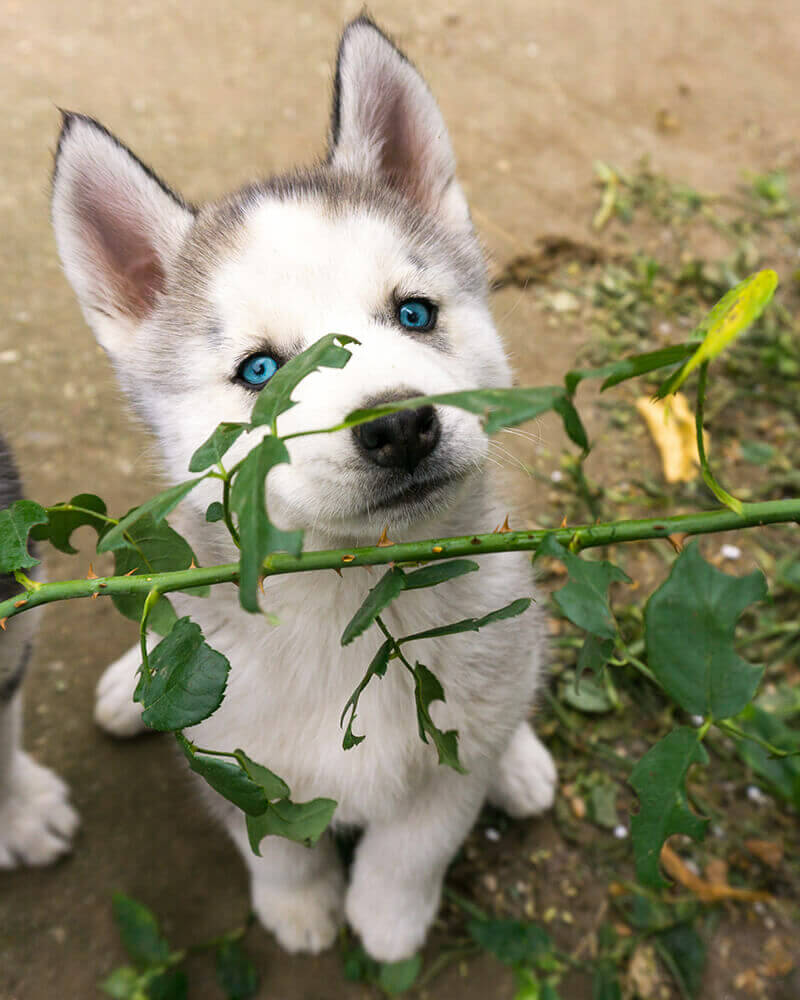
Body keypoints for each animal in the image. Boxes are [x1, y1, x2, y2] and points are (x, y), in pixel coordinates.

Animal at [50, 17, 552, 960]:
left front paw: (388, 919)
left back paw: (524, 762)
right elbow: (277, 843)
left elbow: (417, 841)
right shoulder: (232, 762)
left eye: (416, 314)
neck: (354, 600)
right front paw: (300, 906)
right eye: (260, 371)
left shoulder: (451, 755)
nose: (401, 426)